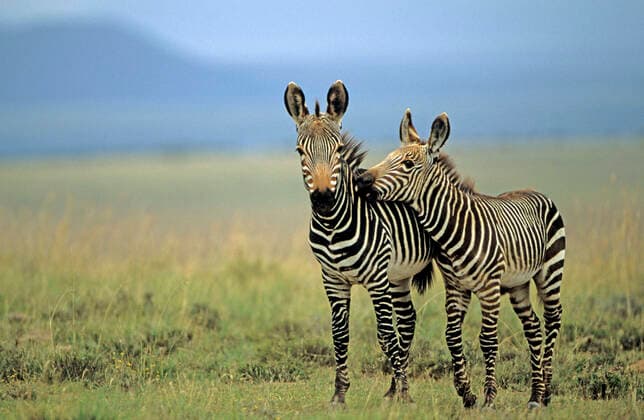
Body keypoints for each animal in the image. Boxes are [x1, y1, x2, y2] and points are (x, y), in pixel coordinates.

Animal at [283, 81, 475, 405]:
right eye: (299, 151)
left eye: (338, 149)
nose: (323, 200)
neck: (333, 227)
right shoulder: (333, 280)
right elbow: (341, 334)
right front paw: (340, 393)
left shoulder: (375, 280)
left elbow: (386, 333)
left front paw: (405, 394)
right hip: (397, 277)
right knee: (407, 319)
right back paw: (392, 387)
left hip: (433, 268)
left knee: (416, 325)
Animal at [356, 109, 565, 409]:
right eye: (388, 157)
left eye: (407, 164)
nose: (360, 180)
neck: (453, 228)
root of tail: (534, 191)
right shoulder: (456, 287)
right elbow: (452, 337)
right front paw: (466, 393)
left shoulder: (489, 288)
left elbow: (488, 339)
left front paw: (489, 398)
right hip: (518, 285)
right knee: (534, 328)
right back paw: (535, 394)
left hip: (550, 271)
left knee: (553, 319)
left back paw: (545, 392)